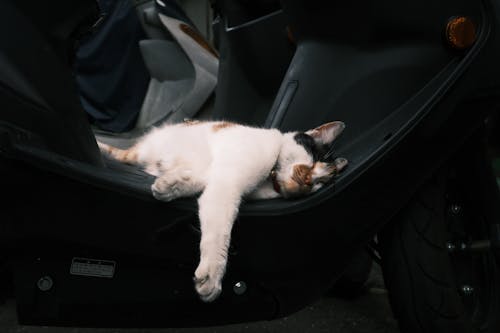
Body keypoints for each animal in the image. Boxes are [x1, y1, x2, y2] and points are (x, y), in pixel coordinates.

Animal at [97, 119, 348, 300]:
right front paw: (212, 275)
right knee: (121, 154)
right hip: (142, 152)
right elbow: (220, 232)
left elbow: (197, 182)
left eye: (319, 184)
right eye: (312, 160)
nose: (307, 182)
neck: (269, 178)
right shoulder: (228, 183)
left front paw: (171, 185)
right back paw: (101, 147)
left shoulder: (219, 179)